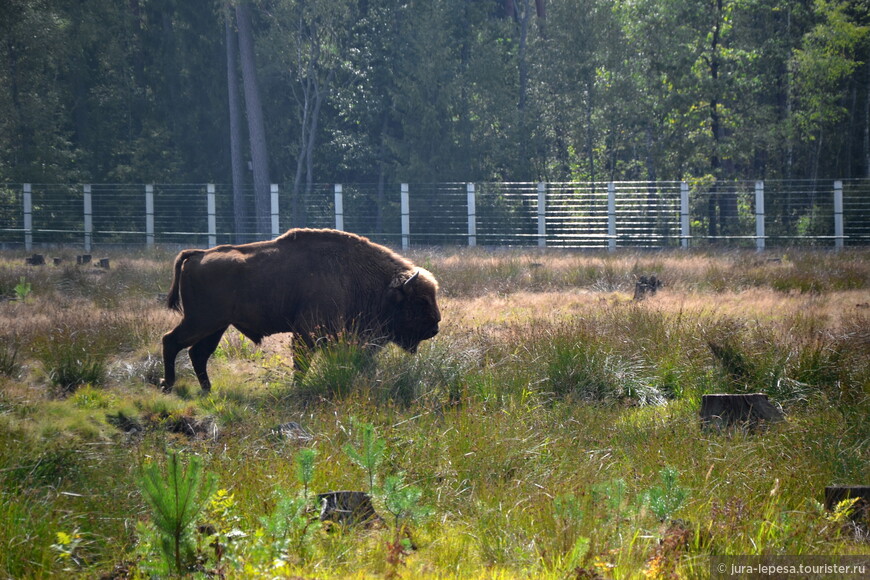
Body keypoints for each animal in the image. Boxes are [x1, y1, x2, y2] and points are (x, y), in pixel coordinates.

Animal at [160, 229, 440, 392]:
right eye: (420, 301)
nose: (435, 326)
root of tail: (199, 254)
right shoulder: (308, 332)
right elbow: (302, 363)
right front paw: (296, 389)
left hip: (216, 326)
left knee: (198, 353)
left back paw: (208, 390)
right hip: (201, 321)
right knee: (171, 341)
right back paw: (168, 385)